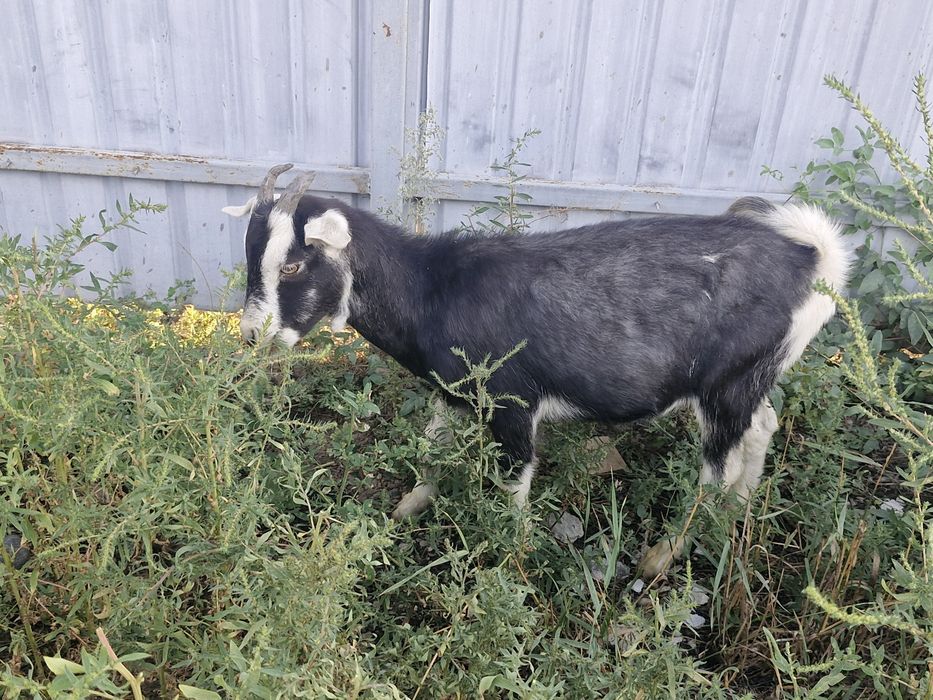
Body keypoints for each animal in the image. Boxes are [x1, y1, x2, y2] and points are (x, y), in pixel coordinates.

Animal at [225, 164, 852, 576]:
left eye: (294, 264)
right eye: (252, 258)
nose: (252, 336)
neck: (433, 288)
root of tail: (811, 259)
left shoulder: (513, 403)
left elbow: (514, 482)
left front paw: (511, 557)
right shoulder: (453, 392)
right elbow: (434, 447)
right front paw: (406, 509)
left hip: (724, 386)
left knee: (714, 471)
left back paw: (663, 555)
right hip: (752, 377)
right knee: (762, 428)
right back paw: (741, 511)